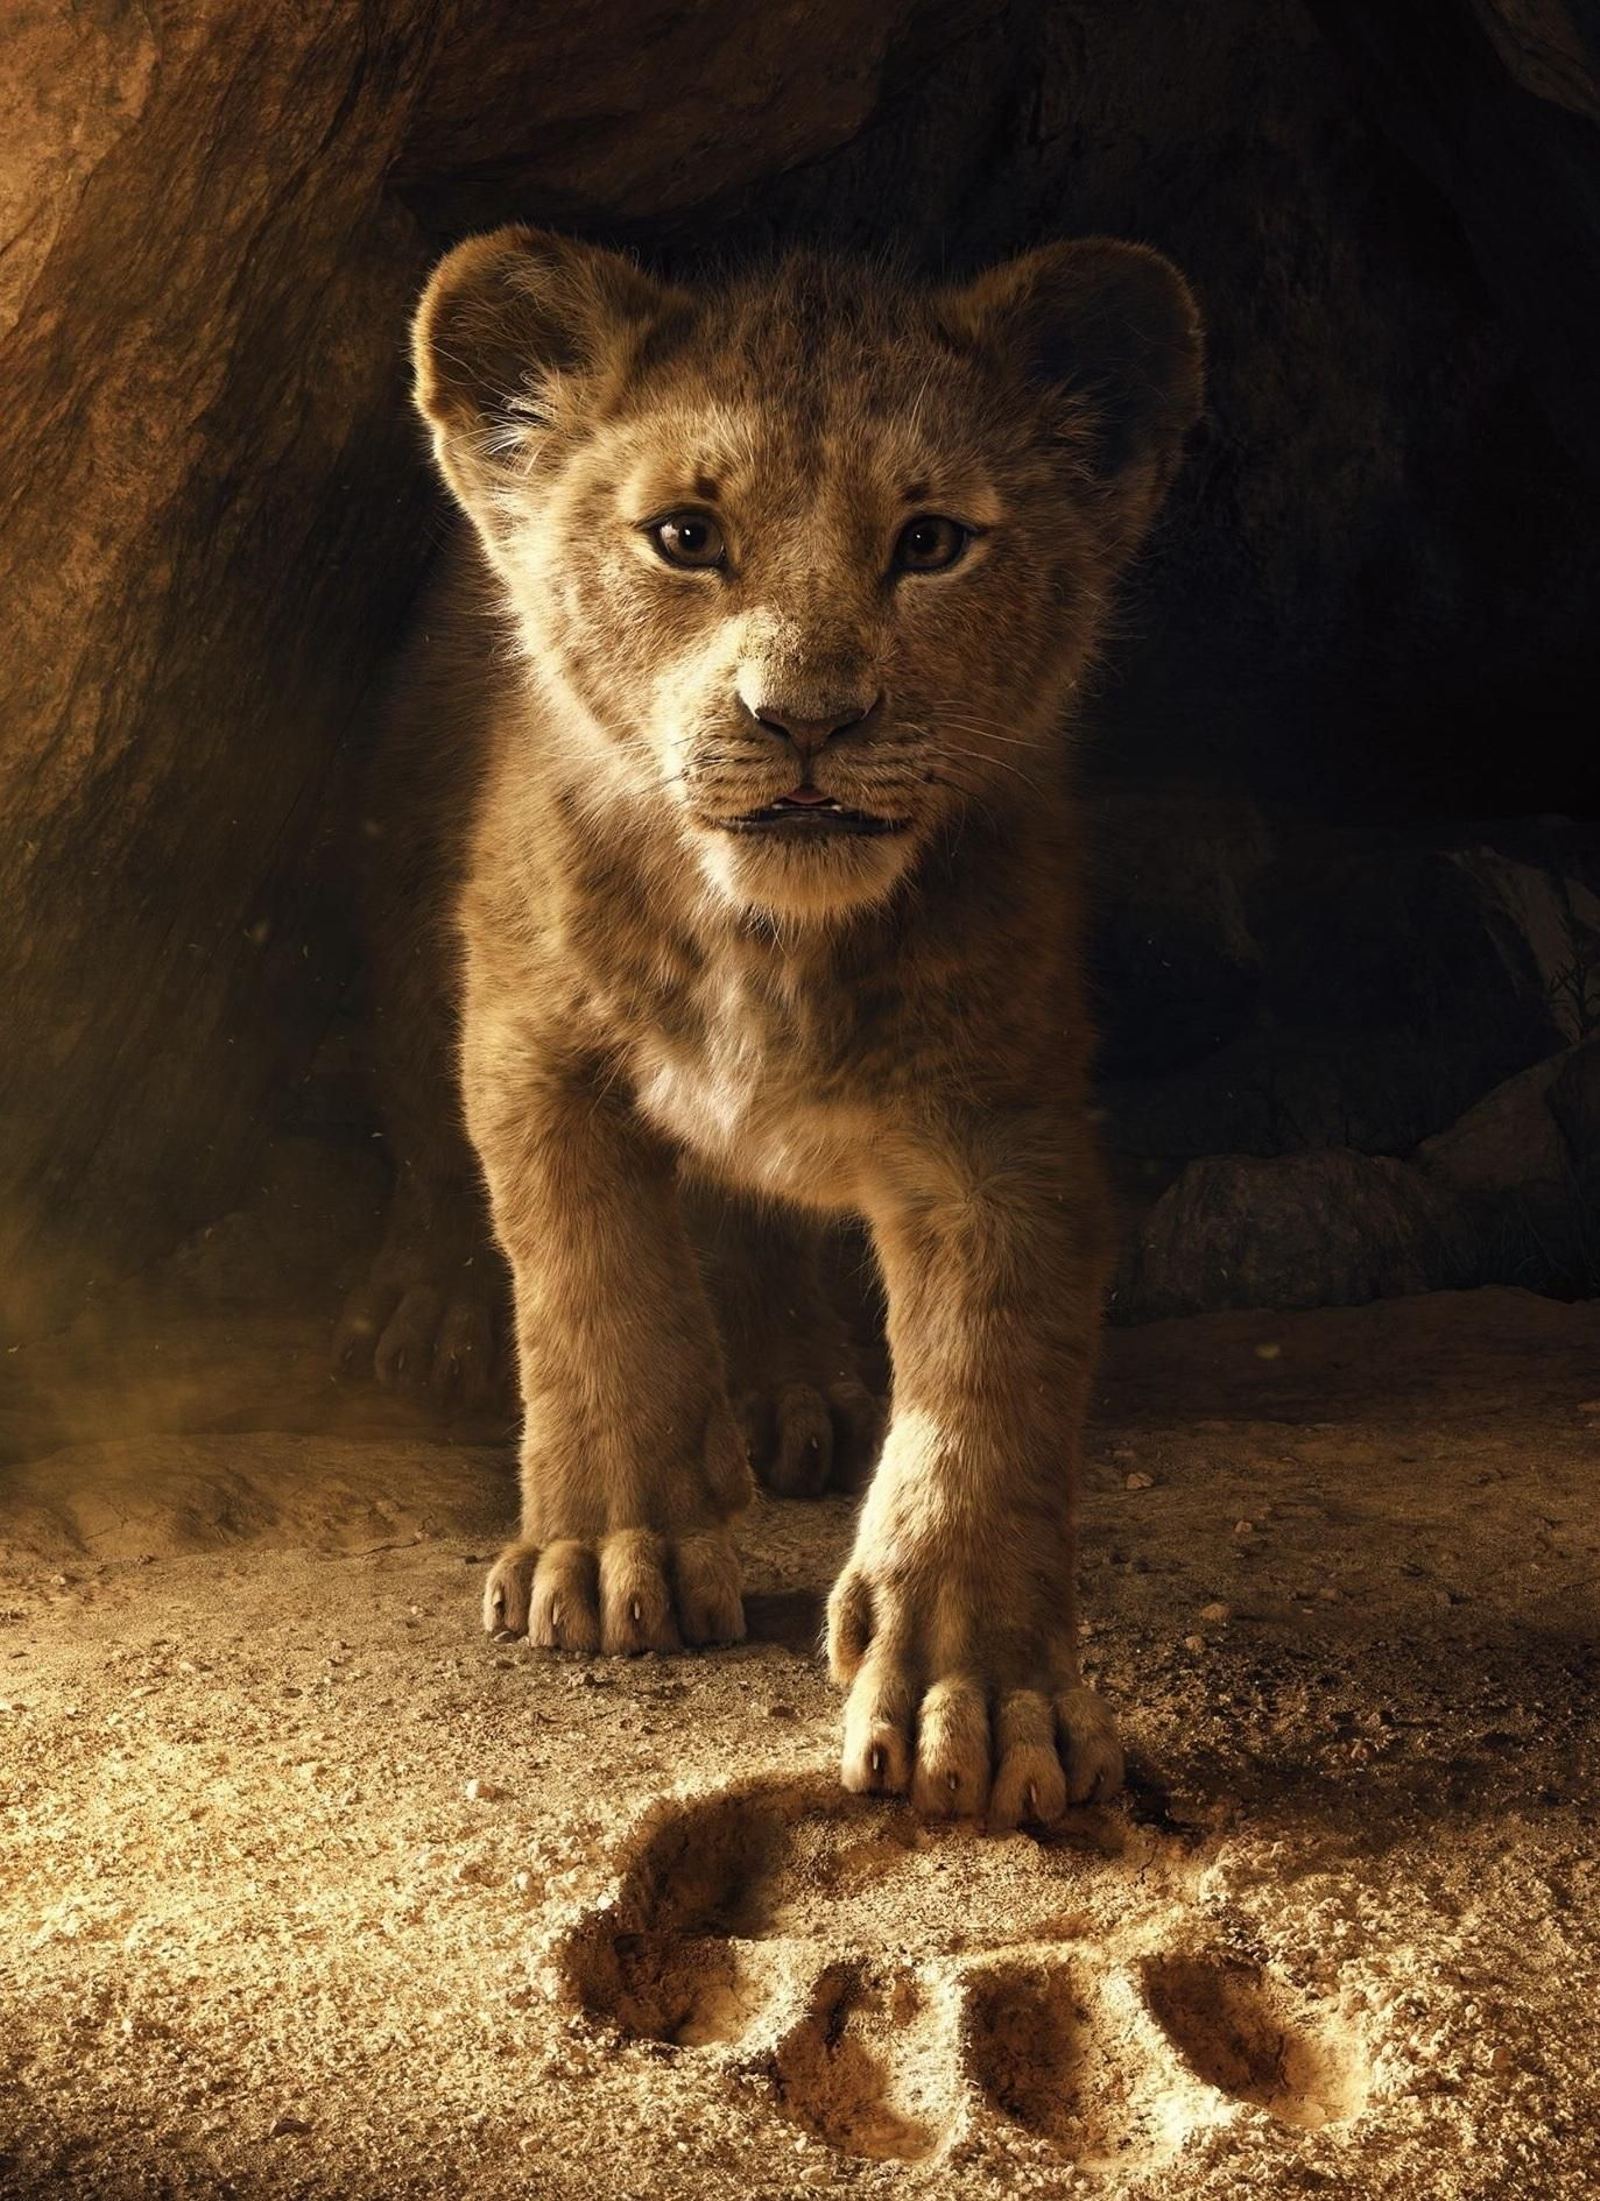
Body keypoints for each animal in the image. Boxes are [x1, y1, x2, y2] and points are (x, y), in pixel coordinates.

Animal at [336, 227, 1203, 1825]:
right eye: (685, 535)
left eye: (931, 542)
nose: (805, 717)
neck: (766, 939)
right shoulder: (532, 1042)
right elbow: (594, 1286)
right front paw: (611, 1551)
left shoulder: (1004, 1125)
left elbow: (988, 1392)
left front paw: (977, 1692)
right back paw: (425, 1308)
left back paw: (796, 1386)